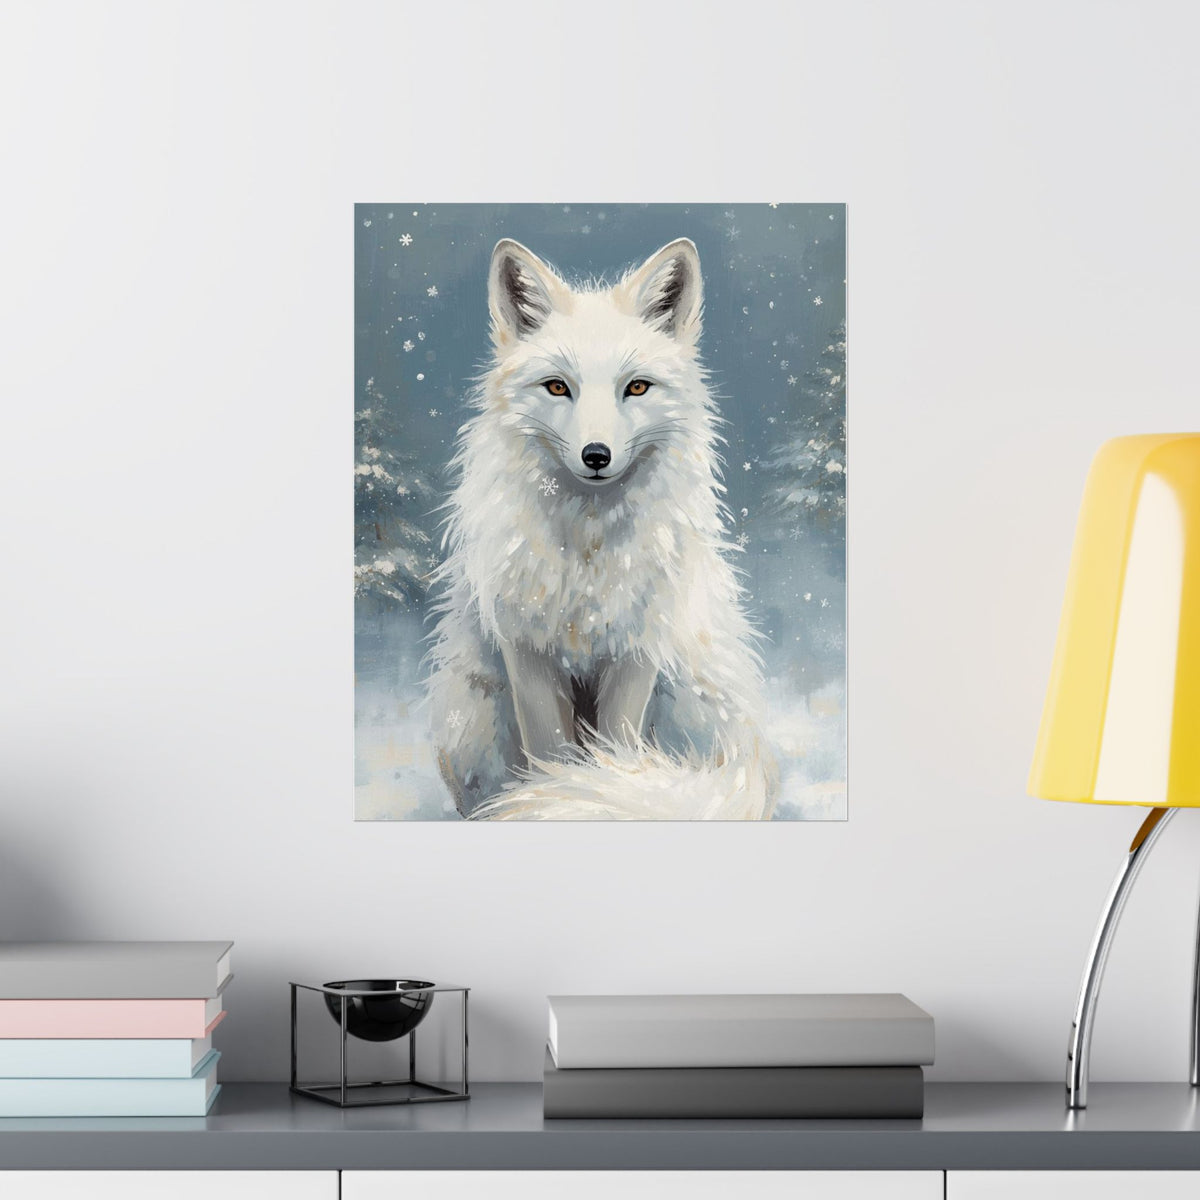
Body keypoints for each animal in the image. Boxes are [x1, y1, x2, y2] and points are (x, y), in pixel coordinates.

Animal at [425, 237, 778, 820]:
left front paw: (585, 790)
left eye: (636, 387)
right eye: (556, 387)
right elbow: (550, 752)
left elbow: (613, 751)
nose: (596, 455)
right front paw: (549, 794)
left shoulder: (637, 649)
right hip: (471, 716)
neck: (587, 558)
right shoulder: (528, 650)